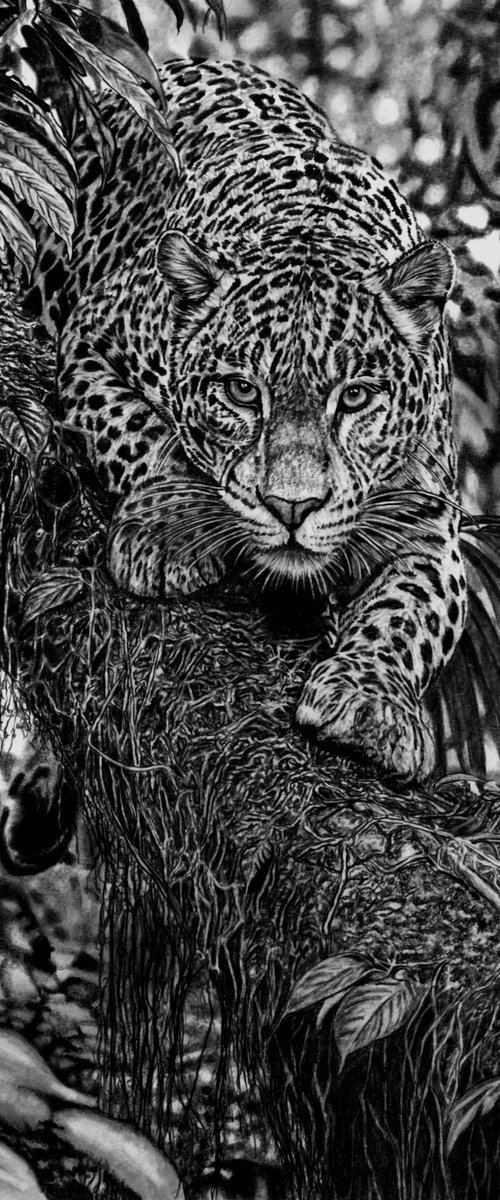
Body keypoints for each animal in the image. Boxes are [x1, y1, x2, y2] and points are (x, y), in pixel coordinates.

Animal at [24, 57, 469, 786]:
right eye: (239, 392)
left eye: (354, 398)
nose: (293, 508)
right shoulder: (92, 342)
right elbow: (140, 437)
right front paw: (170, 529)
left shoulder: (429, 522)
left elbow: (413, 612)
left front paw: (372, 700)